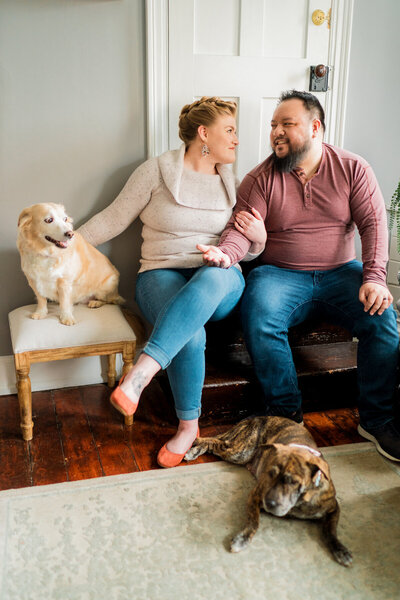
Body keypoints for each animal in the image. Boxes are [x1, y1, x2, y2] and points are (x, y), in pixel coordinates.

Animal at [185, 418, 354, 568]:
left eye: (292, 481)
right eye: (270, 473)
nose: (269, 503)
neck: (298, 502)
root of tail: (254, 418)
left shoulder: (333, 508)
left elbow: (331, 531)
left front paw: (341, 550)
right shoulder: (255, 496)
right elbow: (254, 522)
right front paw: (242, 539)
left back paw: (194, 450)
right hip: (240, 452)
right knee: (213, 442)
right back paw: (193, 450)